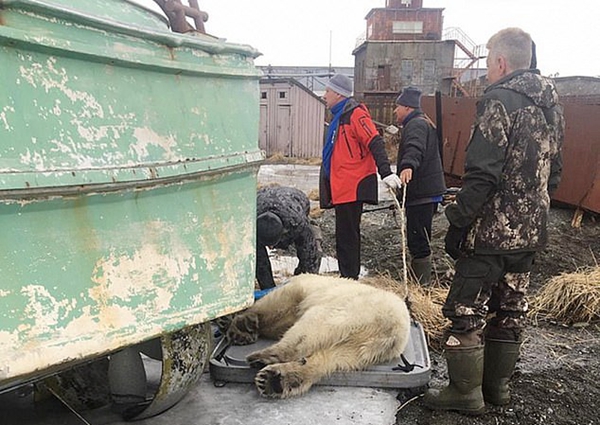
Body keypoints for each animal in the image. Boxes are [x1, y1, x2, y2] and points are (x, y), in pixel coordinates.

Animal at [225, 272, 412, 398]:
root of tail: (392, 329)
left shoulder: (299, 289)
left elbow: (275, 308)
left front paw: (240, 327)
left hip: (349, 311)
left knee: (309, 331)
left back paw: (263, 358)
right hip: (364, 349)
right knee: (331, 358)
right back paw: (275, 380)